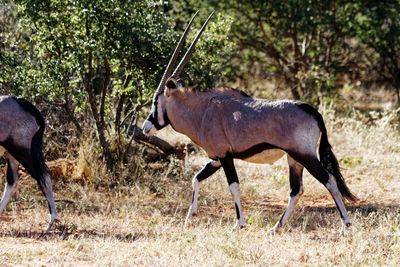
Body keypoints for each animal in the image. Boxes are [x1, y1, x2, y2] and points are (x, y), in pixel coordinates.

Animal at [0, 96, 58, 230]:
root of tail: (18, 100)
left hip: (21, 151)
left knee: (44, 176)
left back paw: (52, 220)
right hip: (11, 155)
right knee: (12, 182)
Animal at [142, 12, 358, 234]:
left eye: (155, 102)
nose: (146, 128)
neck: (202, 110)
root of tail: (312, 111)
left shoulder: (225, 156)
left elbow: (233, 187)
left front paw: (238, 224)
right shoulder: (216, 158)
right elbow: (197, 178)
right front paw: (189, 218)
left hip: (305, 155)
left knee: (329, 180)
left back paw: (346, 224)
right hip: (294, 159)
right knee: (296, 190)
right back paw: (276, 227)